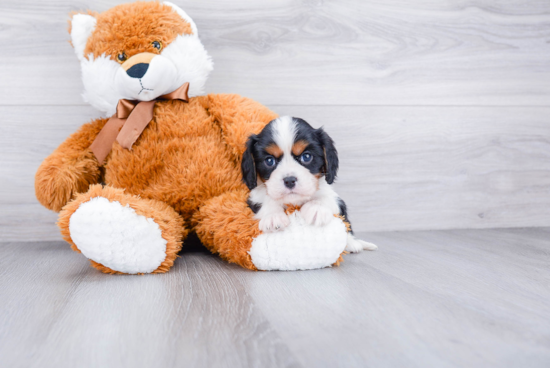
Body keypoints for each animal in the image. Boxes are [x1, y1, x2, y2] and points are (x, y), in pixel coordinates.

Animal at [243, 116, 380, 252]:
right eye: (269, 161)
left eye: (307, 157)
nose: (289, 180)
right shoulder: (254, 197)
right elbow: (265, 201)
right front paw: (273, 216)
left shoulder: (333, 196)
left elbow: (326, 198)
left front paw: (316, 209)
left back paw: (353, 243)